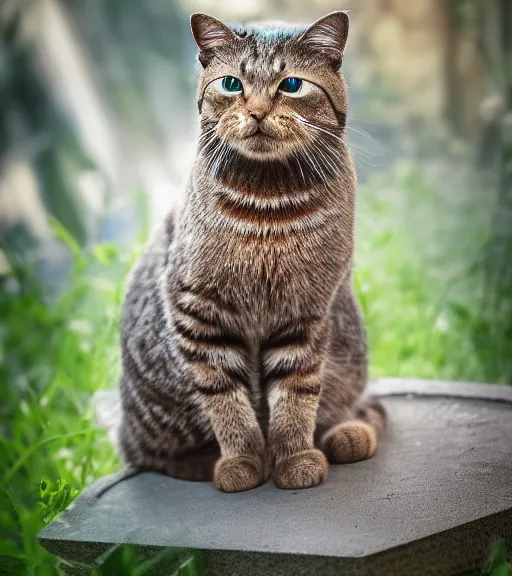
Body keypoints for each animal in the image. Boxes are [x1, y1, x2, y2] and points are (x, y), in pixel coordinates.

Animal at [119, 11, 384, 492]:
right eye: (231, 84)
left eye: (291, 85)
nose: (257, 110)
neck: (268, 206)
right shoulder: (198, 313)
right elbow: (227, 402)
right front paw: (243, 461)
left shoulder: (305, 313)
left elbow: (296, 396)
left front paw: (293, 456)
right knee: (150, 454)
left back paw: (344, 434)